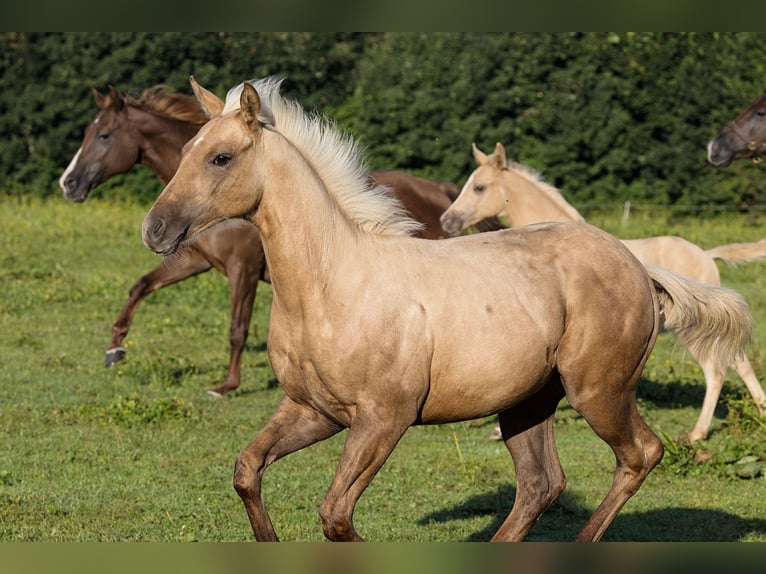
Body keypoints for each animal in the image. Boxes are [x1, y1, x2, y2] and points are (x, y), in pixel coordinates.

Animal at [60, 85, 504, 398]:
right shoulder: (195, 261)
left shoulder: (242, 270)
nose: (69, 183)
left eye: (104, 135)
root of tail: (443, 193)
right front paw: (115, 349)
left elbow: (237, 328)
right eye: (186, 151)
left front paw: (226, 386)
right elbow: (140, 286)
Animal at [440, 143, 766, 440]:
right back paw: (761, 413)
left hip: (692, 331)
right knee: (741, 363)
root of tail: (707, 256)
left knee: (717, 372)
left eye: (479, 187)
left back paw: (697, 433)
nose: (447, 220)